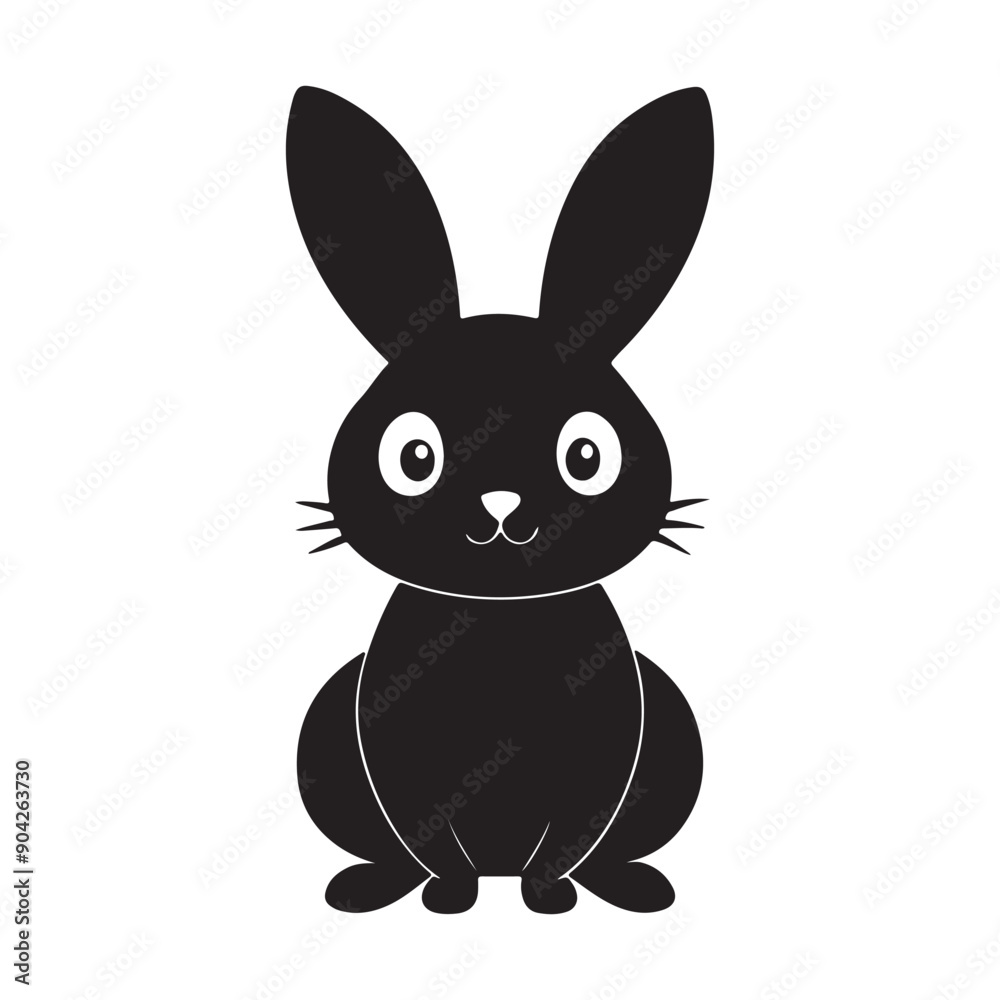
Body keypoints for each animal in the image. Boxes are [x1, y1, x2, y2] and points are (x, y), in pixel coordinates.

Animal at [286, 85, 713, 914]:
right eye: (414, 456)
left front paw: (548, 894)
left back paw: (629, 885)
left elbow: (578, 824)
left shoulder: (609, 737)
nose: (501, 506)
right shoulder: (393, 738)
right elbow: (423, 824)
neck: (501, 623)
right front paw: (450, 895)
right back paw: (371, 886)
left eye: (586, 455)